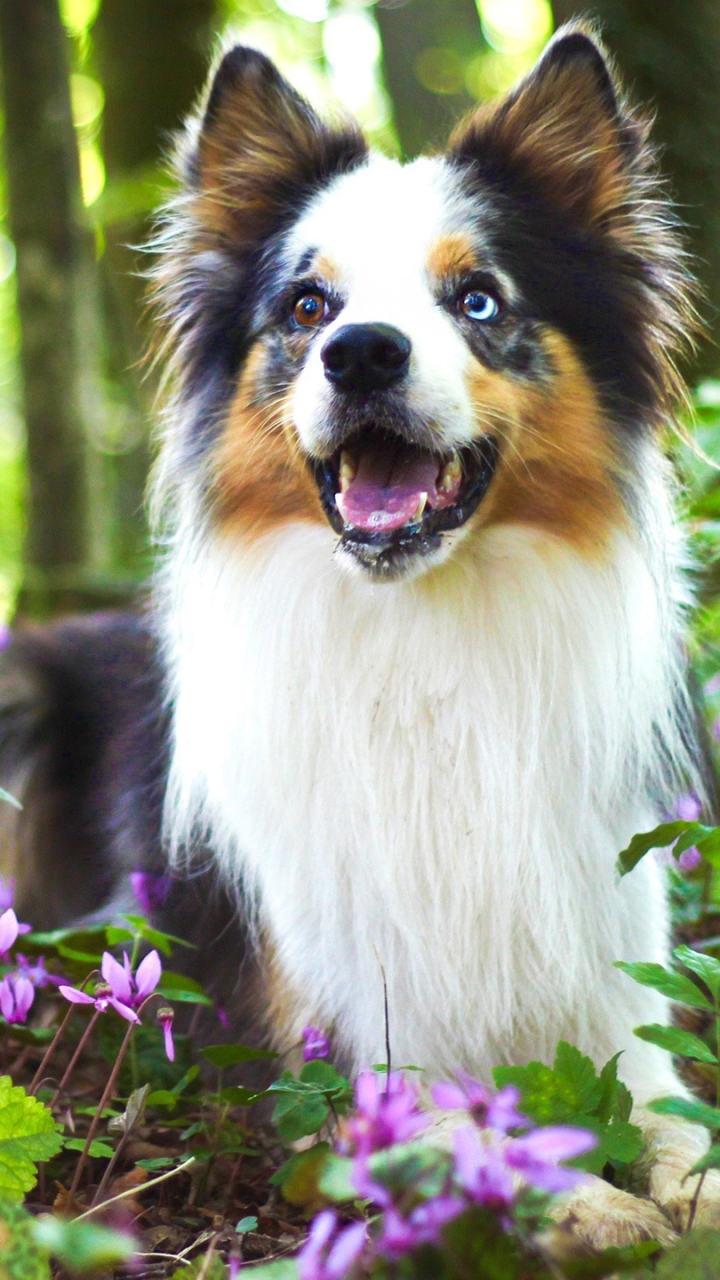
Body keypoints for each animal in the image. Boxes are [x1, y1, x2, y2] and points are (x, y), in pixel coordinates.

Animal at [1, 22, 717, 1249]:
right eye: (306, 307)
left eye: (477, 300)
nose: (363, 353)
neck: (424, 637)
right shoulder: (342, 1039)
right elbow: (474, 1133)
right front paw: (588, 1203)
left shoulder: (621, 993)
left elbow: (676, 1119)